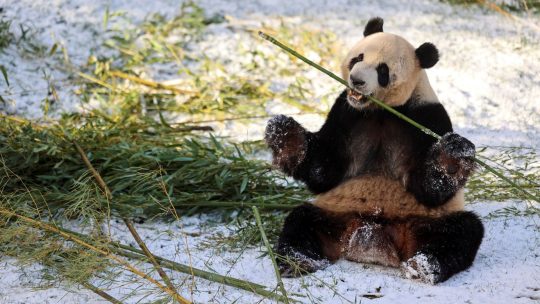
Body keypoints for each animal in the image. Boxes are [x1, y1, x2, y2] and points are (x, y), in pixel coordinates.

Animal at [266, 16, 486, 284]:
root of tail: (373, 233)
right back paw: (298, 261)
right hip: (335, 212)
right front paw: (286, 136)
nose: (356, 80)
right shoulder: (346, 114)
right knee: (301, 221)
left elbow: (429, 188)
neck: (379, 110)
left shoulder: (425, 117)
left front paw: (452, 157)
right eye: (358, 58)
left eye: (383, 71)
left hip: (426, 220)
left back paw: (423, 265)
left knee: (462, 231)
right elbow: (324, 169)